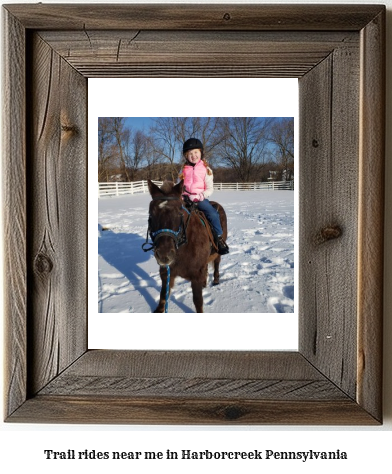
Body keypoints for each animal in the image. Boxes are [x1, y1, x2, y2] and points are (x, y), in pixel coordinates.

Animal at [144, 180, 228, 312]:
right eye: (151, 215)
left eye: (179, 213)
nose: (164, 255)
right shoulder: (167, 273)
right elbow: (163, 299)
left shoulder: (196, 276)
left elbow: (198, 302)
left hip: (217, 252)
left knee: (217, 263)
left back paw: (215, 280)